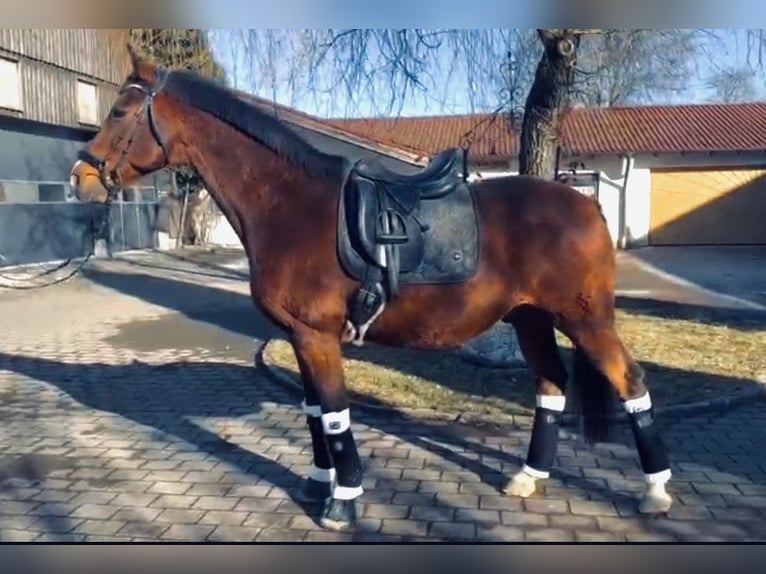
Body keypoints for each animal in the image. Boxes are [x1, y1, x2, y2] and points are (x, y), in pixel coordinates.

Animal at [69, 45, 674, 532]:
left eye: (120, 110)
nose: (81, 178)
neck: (291, 206)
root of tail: (586, 203)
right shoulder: (300, 338)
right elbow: (314, 413)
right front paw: (318, 483)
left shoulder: (317, 336)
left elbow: (336, 417)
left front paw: (343, 501)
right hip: (531, 318)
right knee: (551, 386)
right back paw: (528, 477)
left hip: (586, 319)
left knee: (631, 382)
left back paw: (656, 492)